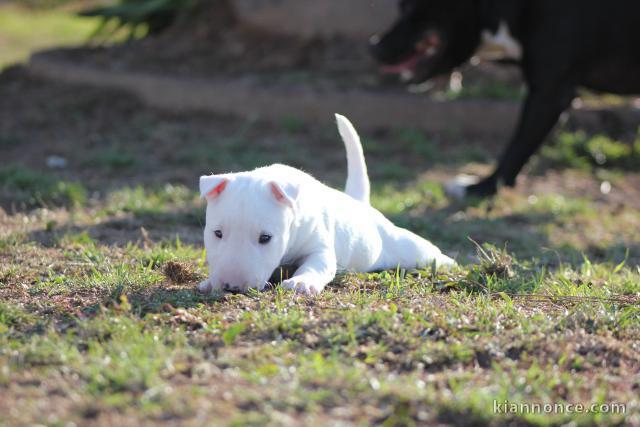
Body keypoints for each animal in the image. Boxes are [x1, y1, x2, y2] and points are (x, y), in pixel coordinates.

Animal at [200, 113, 456, 296]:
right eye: (217, 233)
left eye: (266, 238)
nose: (231, 287)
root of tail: (361, 204)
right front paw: (207, 283)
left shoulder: (320, 247)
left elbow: (317, 265)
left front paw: (300, 283)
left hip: (408, 247)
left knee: (429, 252)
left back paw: (450, 264)